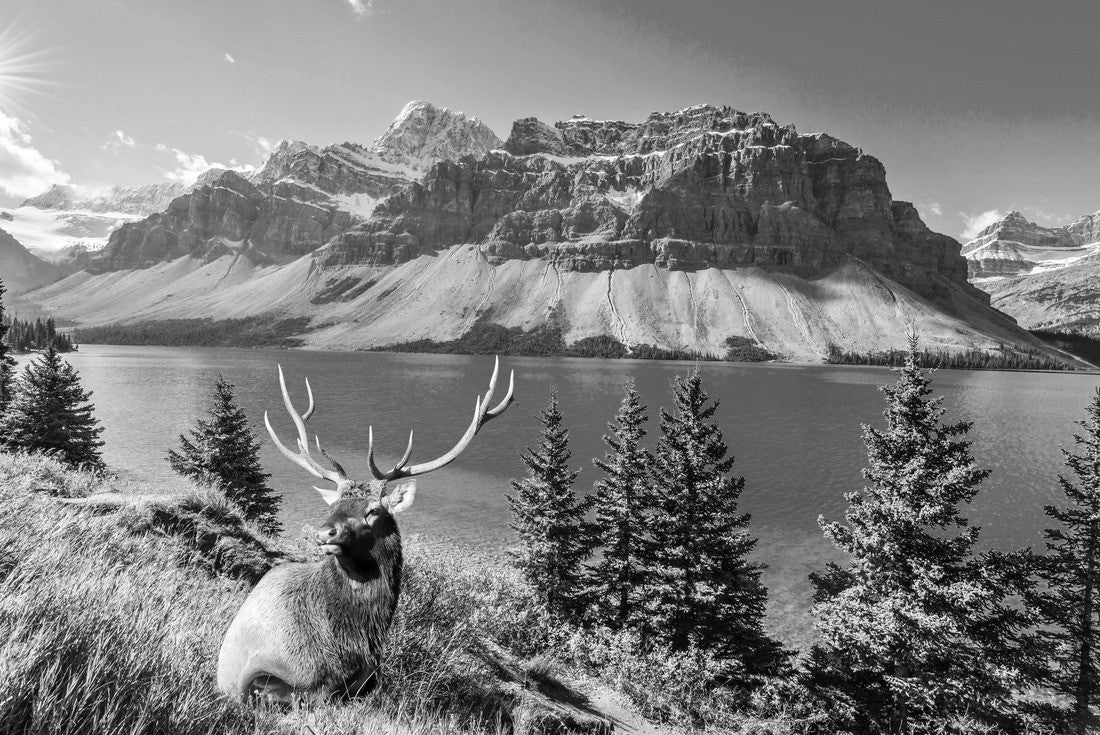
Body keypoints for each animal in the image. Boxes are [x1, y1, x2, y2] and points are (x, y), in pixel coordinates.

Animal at [215, 358, 515, 705]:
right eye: (333, 505)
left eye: (373, 511)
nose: (325, 533)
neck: (358, 637)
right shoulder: (268, 674)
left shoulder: (369, 676)